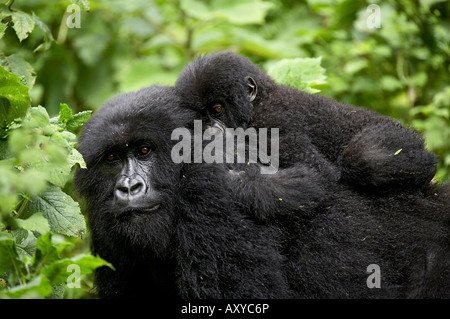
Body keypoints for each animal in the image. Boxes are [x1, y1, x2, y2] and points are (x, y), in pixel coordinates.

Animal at [177, 51, 440, 191]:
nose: (209, 132)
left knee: (365, 158)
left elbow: (320, 173)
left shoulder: (273, 123)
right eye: (199, 119)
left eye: (217, 110)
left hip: (400, 136)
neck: (260, 102)